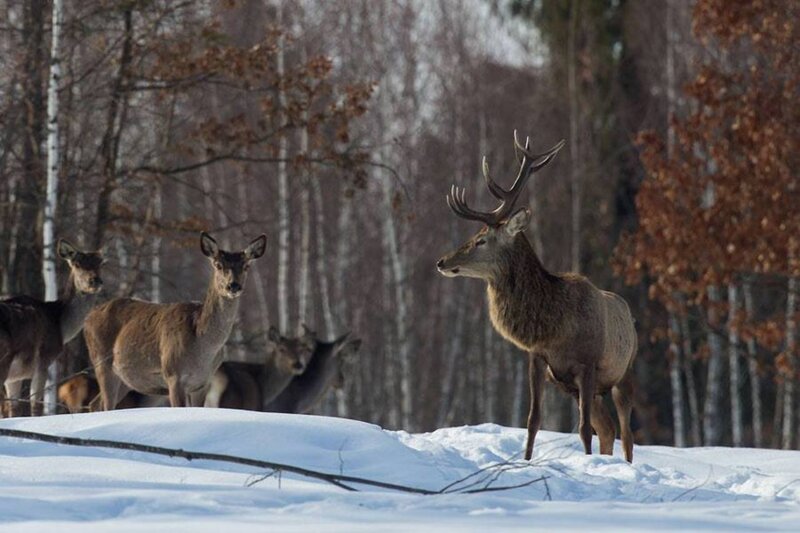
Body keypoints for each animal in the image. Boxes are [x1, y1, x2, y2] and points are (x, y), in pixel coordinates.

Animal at [0, 239, 104, 417]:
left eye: (100, 263)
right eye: (77, 263)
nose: (94, 281)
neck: (60, 326)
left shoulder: (15, 377)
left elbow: (14, 409)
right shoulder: (44, 359)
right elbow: (36, 405)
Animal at [83, 231, 266, 409]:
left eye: (246, 266)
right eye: (218, 264)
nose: (233, 286)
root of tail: (88, 317)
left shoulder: (203, 383)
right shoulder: (173, 375)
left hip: (124, 378)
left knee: (95, 403)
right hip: (102, 362)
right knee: (106, 404)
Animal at [437, 132, 637, 462]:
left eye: (481, 240)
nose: (441, 261)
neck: (556, 326)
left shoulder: (588, 364)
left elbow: (583, 428)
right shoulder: (538, 359)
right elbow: (533, 420)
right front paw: (526, 461)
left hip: (624, 373)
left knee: (626, 433)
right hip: (582, 388)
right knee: (607, 429)